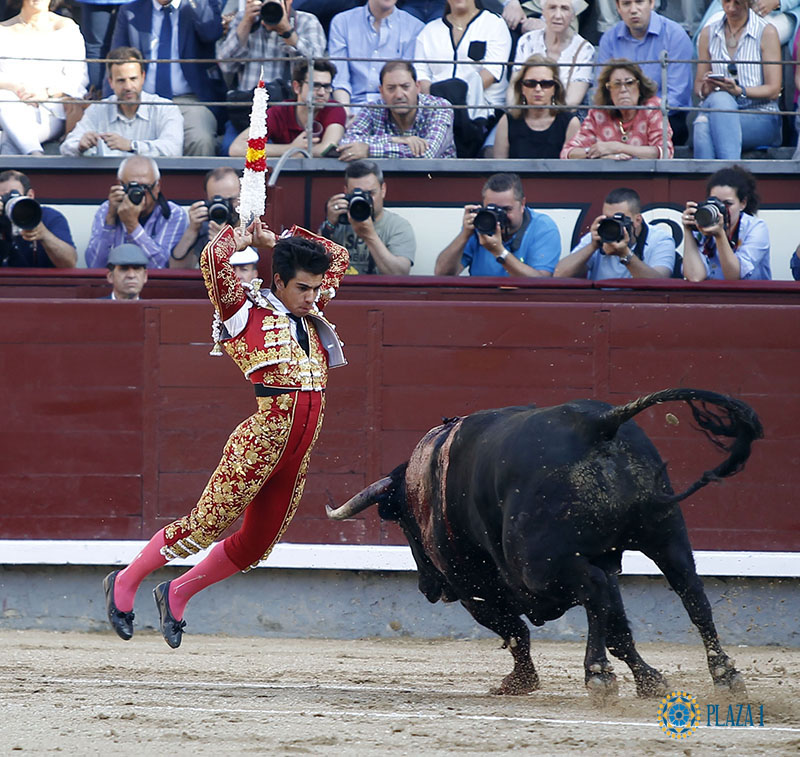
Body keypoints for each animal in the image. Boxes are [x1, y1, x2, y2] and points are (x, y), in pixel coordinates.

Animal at [326, 390, 764, 696]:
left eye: (403, 522)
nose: (427, 588)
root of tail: (597, 425)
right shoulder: (605, 560)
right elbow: (618, 628)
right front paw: (651, 682)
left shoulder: (475, 590)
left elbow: (515, 631)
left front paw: (520, 682)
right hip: (665, 534)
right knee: (691, 595)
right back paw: (726, 676)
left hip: (541, 566)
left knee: (597, 592)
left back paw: (597, 676)